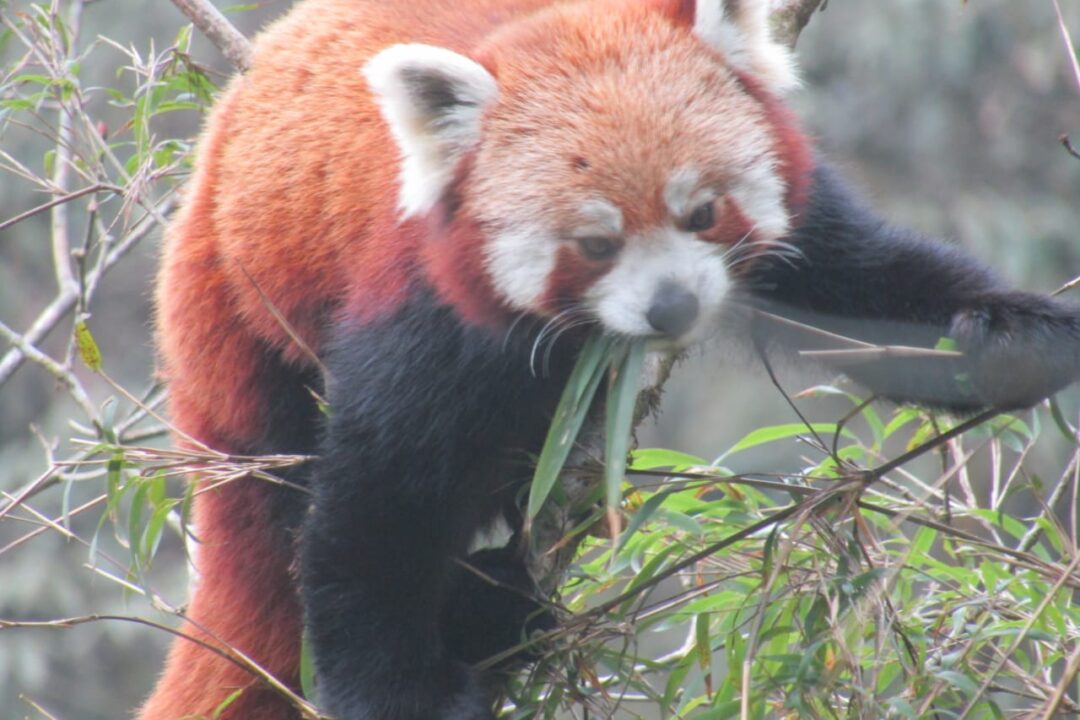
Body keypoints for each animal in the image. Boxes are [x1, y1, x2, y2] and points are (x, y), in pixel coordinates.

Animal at [143, 1, 1080, 720]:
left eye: (702, 212)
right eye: (594, 244)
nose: (672, 307)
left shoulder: (800, 218)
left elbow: (868, 289)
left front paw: (1008, 338)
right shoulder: (425, 297)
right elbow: (378, 508)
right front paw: (401, 691)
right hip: (241, 335)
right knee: (279, 510)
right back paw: (484, 608)